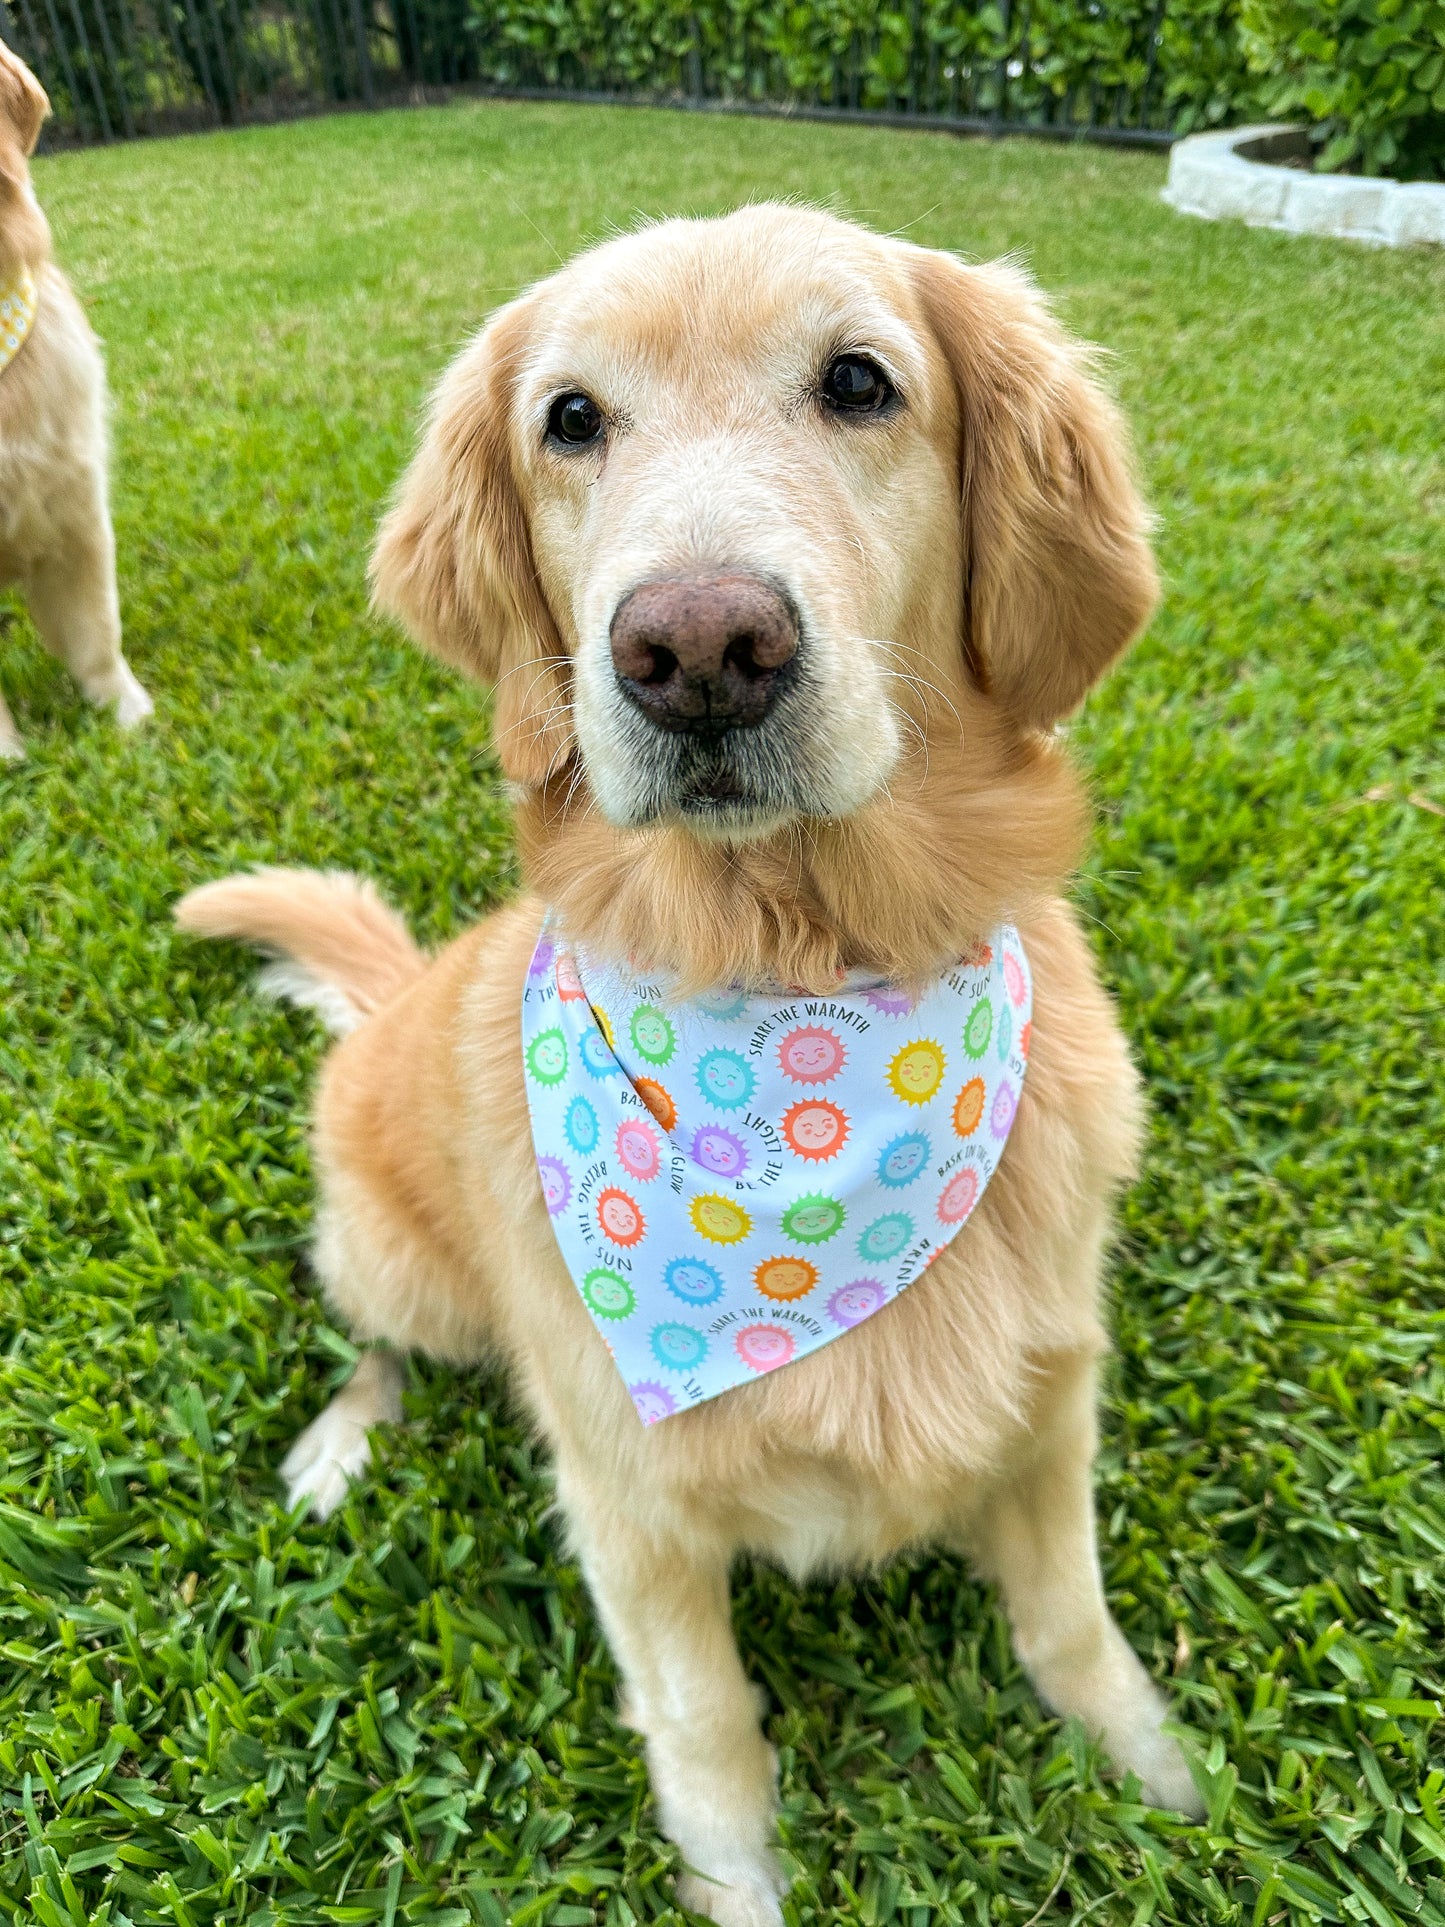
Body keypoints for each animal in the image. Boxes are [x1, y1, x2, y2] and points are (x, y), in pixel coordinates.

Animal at [178, 203, 1202, 1919]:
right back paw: (335, 1445)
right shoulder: (629, 1507)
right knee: (378, 1338)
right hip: (401, 1264)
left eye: (859, 382)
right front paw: (738, 1885)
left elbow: (1069, 1616)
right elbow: (707, 1722)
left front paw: (1163, 1772)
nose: (698, 647)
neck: (792, 986)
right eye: (571, 419)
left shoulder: (1053, 1395)